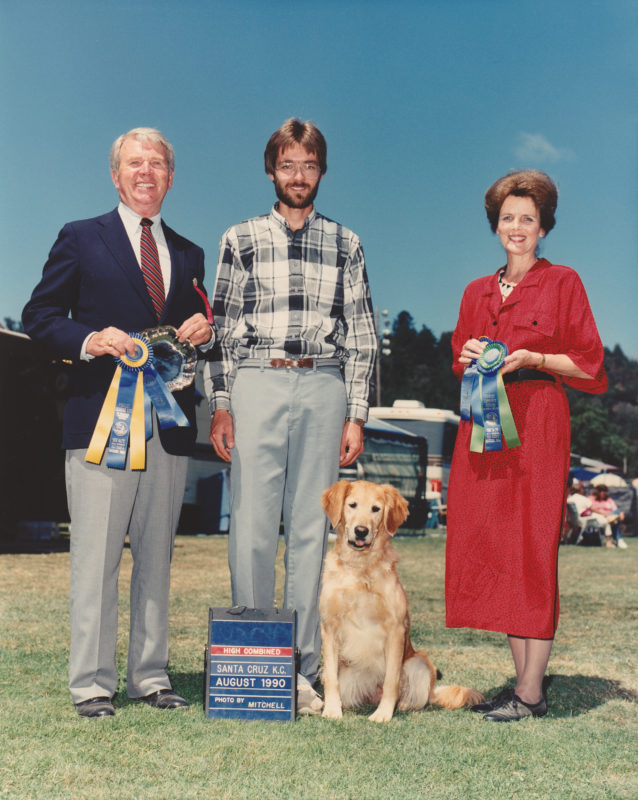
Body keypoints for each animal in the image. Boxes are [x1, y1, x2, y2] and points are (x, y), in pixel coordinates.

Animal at [320, 482, 484, 724]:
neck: (361, 567)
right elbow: (331, 677)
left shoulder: (396, 629)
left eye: (376, 509)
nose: (361, 531)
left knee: (417, 695)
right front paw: (331, 709)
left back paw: (404, 705)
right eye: (352, 505)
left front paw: (384, 713)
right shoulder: (330, 627)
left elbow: (391, 680)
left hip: (419, 662)